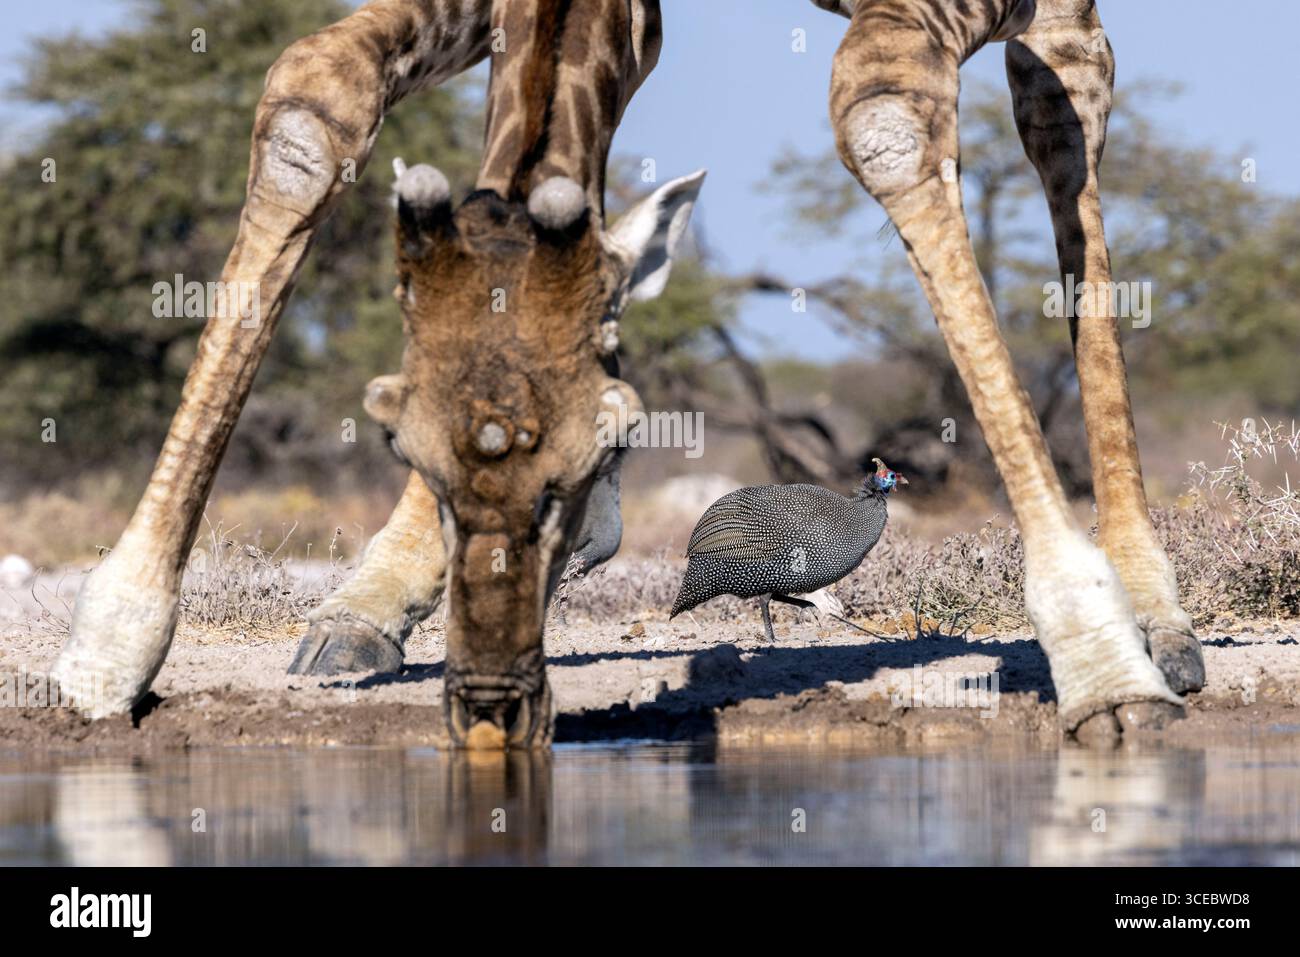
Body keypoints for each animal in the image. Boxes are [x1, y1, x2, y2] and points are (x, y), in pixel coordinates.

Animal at [51, 0, 1204, 749]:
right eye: (394, 439)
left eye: (605, 446)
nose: (492, 705)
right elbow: (309, 102)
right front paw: (107, 649)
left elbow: (882, 112)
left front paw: (1103, 669)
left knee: (1066, 126)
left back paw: (1154, 624)